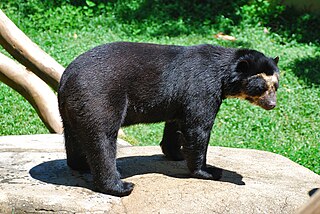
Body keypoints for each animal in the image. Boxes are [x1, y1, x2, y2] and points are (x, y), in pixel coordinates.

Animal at [58, 41, 280, 196]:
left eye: (276, 86)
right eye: (261, 86)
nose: (272, 104)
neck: (224, 75)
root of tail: (66, 78)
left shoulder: (178, 99)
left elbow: (176, 124)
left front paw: (177, 154)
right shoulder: (202, 88)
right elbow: (198, 126)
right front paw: (208, 171)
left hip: (71, 110)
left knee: (74, 136)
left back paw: (81, 165)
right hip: (100, 98)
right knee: (102, 140)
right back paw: (121, 186)